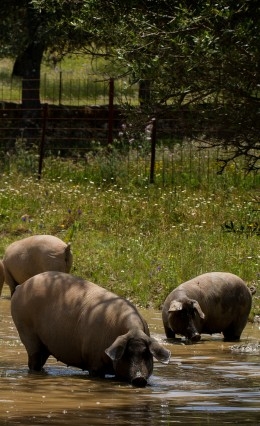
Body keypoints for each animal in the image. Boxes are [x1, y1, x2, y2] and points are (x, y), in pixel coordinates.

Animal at [11, 272, 171, 388]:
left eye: (146, 354)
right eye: (127, 353)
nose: (139, 379)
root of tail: (21, 287)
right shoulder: (94, 362)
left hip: (44, 345)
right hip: (26, 331)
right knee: (33, 362)